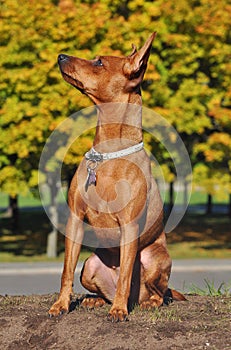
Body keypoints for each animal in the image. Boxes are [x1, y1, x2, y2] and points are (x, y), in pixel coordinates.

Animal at [48, 32, 186, 322]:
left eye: (99, 62)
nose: (61, 55)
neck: (107, 154)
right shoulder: (75, 220)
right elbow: (65, 271)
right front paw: (61, 305)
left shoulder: (129, 227)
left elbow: (125, 276)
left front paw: (119, 311)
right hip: (89, 265)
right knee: (103, 288)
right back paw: (96, 300)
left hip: (155, 258)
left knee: (159, 293)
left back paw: (142, 303)